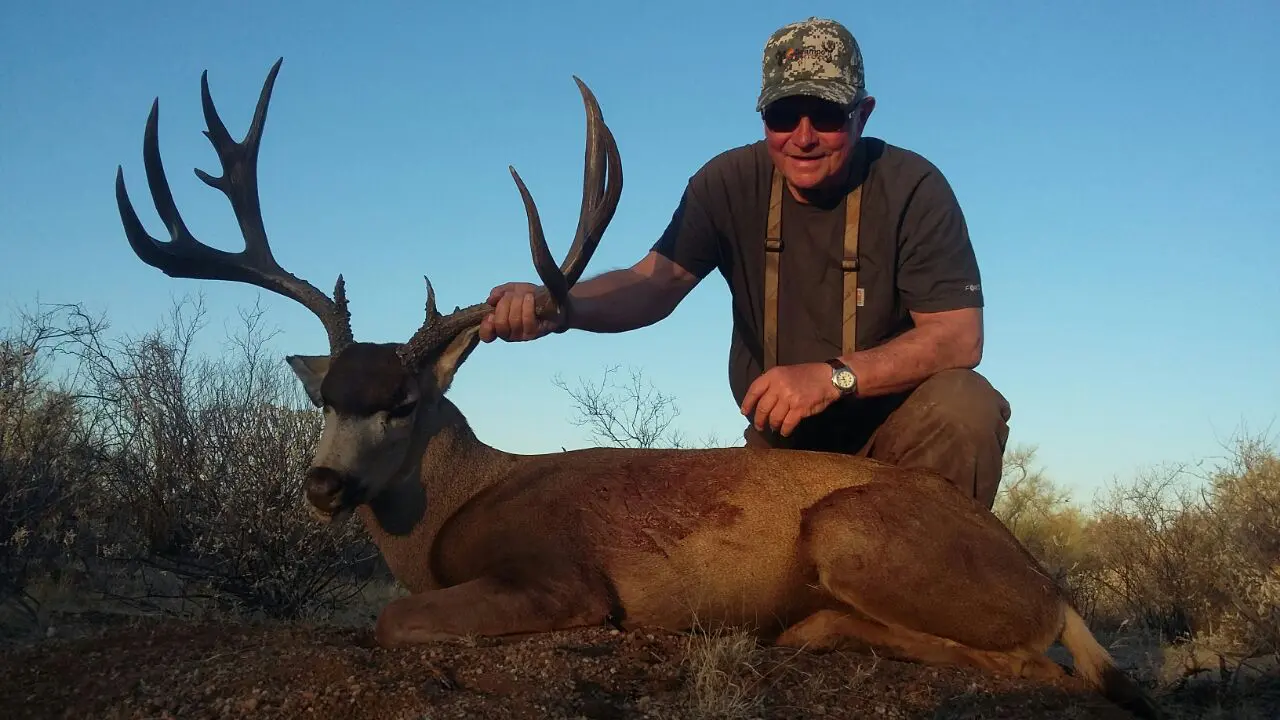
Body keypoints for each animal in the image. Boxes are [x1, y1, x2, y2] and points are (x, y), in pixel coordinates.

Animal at [112, 58, 1162, 719]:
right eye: (324, 399)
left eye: (402, 405)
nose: (324, 486)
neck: (454, 507)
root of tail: (1050, 581)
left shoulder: (563, 575)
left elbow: (391, 618)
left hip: (852, 527)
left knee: (1047, 668)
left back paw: (818, 629)